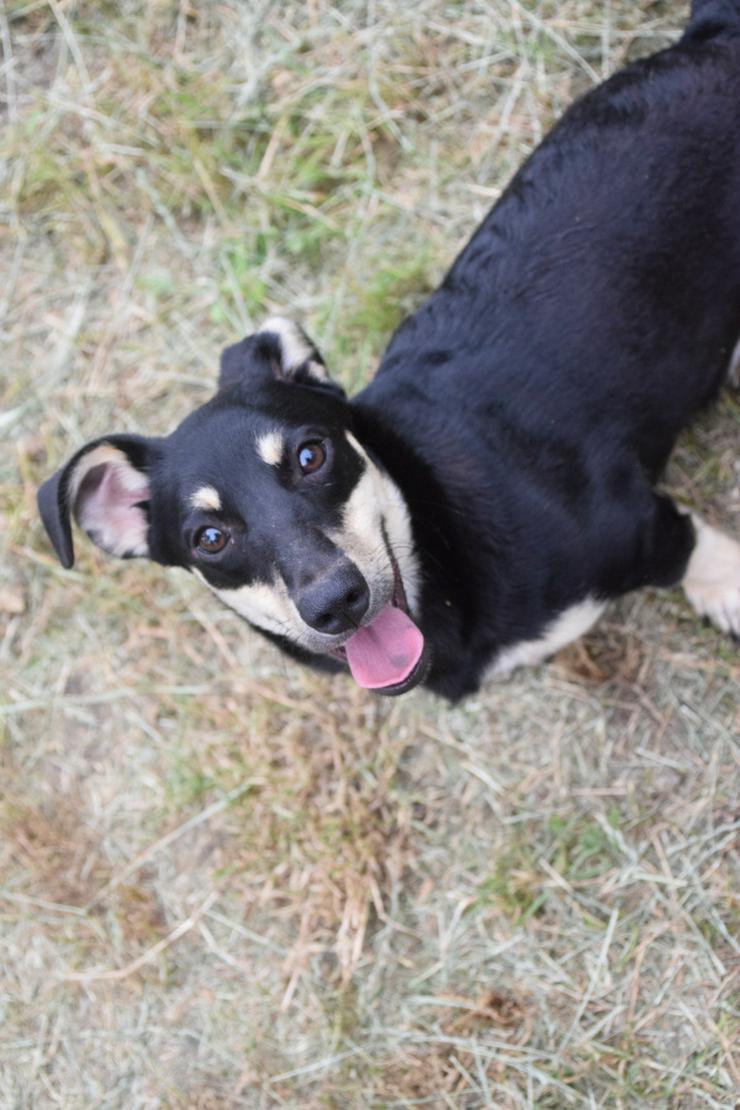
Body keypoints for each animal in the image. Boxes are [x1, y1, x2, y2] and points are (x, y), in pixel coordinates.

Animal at [39, 2, 740, 701]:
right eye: (209, 537)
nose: (335, 603)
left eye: (311, 454)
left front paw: (725, 589)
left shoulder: (636, 522)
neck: (439, 530)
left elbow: (697, 551)